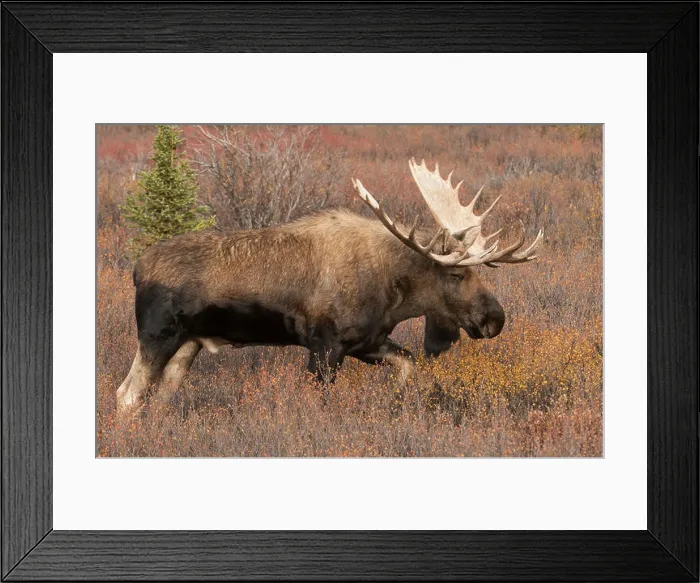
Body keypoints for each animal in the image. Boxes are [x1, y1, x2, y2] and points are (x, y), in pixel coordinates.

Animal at [116, 159, 543, 414]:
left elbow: (410, 369)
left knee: (161, 396)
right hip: (157, 335)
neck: (393, 292)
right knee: (128, 395)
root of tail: (137, 268)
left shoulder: (368, 342)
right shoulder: (325, 346)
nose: (495, 319)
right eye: (457, 274)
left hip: (189, 343)